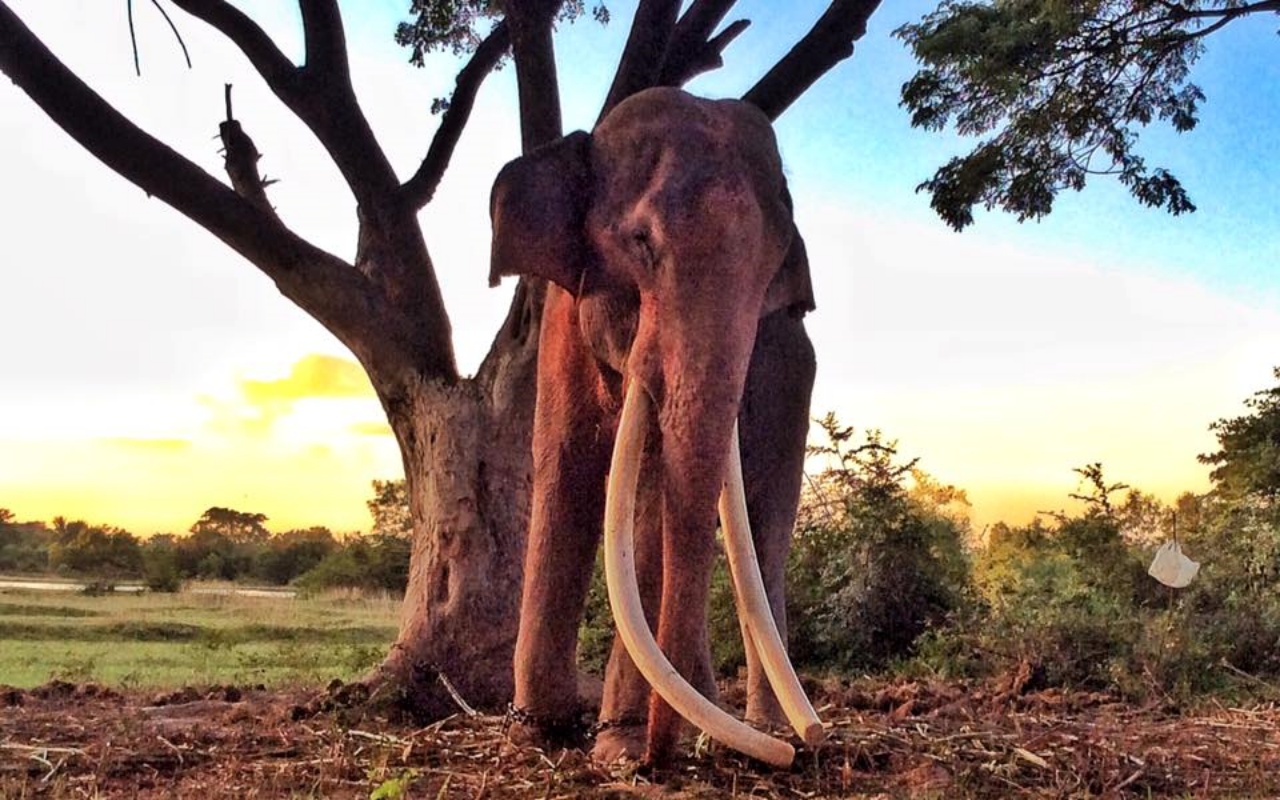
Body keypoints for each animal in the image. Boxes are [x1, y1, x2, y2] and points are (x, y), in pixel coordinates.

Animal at [488, 87, 819, 768]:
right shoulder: (560, 325)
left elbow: (651, 505)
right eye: (641, 241)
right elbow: (565, 467)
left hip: (794, 385)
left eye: (773, 267)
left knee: (763, 532)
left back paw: (757, 728)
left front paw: (618, 747)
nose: (657, 760)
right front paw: (533, 733)